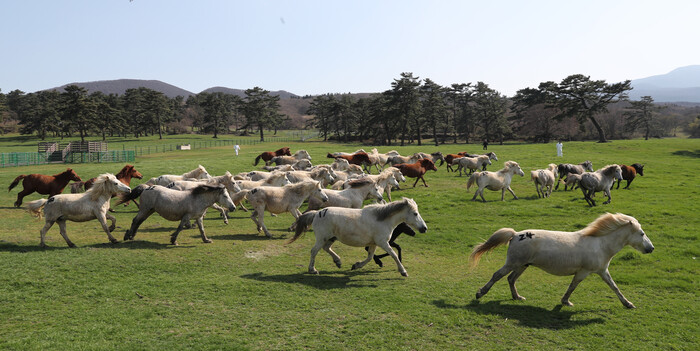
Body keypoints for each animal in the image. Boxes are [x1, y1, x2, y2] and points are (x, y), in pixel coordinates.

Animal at [288, 198, 426, 278]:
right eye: (415, 213)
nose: (424, 228)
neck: (382, 220)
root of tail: (317, 213)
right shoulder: (383, 243)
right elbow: (394, 255)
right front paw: (403, 271)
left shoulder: (374, 243)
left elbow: (370, 257)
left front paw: (356, 265)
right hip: (322, 238)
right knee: (314, 251)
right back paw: (312, 270)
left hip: (331, 238)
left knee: (326, 248)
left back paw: (338, 261)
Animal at [470, 212, 656, 308]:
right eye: (642, 234)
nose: (651, 248)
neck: (601, 244)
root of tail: (515, 235)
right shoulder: (584, 272)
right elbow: (573, 286)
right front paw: (566, 301)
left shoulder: (602, 271)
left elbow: (614, 287)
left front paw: (628, 303)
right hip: (513, 263)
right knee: (498, 275)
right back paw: (480, 293)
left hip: (523, 265)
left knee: (510, 279)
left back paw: (517, 297)